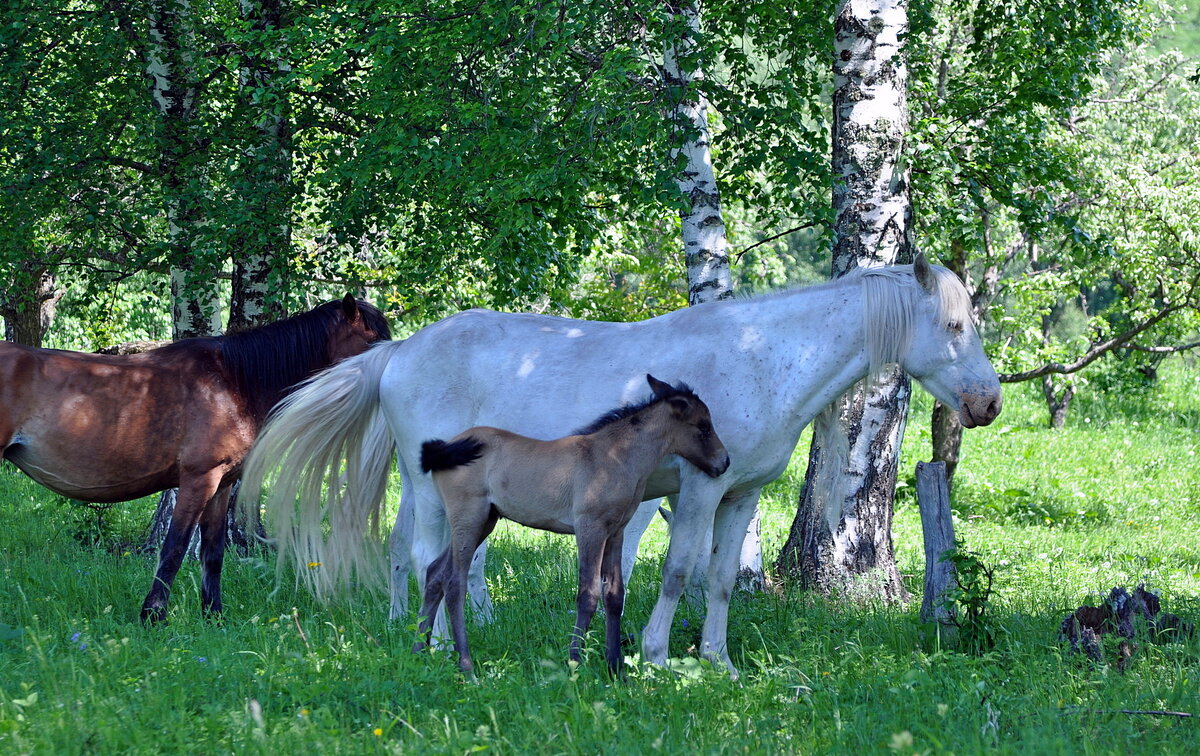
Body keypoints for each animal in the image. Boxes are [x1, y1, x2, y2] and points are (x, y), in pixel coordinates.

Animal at [0, 295, 386, 624]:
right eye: (372, 341)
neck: (233, 381)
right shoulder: (200, 479)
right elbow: (174, 549)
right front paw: (153, 616)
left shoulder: (222, 484)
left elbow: (212, 554)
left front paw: (214, 616)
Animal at [417, 376, 724, 676]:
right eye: (703, 427)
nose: (724, 463)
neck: (615, 457)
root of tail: (445, 448)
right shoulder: (590, 528)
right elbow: (588, 593)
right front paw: (575, 662)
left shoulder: (616, 532)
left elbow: (614, 595)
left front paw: (615, 668)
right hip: (468, 518)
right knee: (454, 583)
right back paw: (466, 667)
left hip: (484, 521)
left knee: (435, 573)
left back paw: (418, 650)